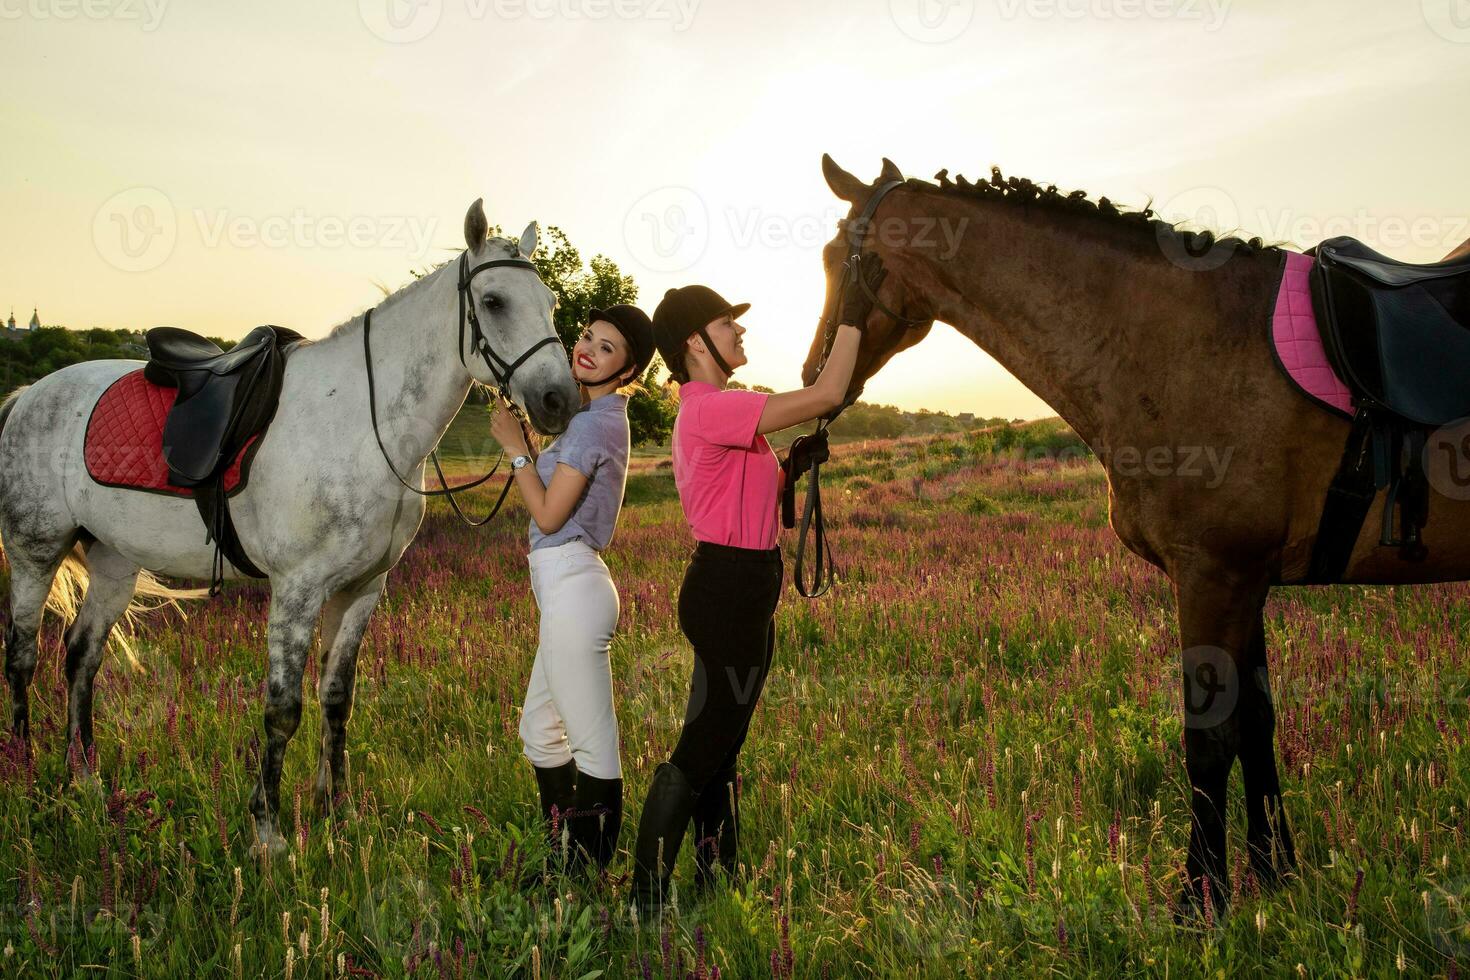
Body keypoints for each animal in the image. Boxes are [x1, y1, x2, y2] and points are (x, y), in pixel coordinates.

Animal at [0, 199, 573, 852]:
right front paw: (269, 832)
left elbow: (336, 699)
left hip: (115, 563)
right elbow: (282, 710)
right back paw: (25, 774)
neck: (363, 423)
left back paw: (86, 781)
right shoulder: (297, 590)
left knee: (80, 657)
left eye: (550, 301)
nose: (560, 400)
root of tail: (28, 395)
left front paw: (338, 810)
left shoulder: (361, 590)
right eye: (495, 301)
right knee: (21, 657)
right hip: (35, 552)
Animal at [805, 155, 1470, 922]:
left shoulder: (1214, 577)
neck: (1179, 347)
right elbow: (1258, 724)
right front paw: (1275, 876)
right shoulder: (1246, 580)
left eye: (837, 259)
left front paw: (1200, 903)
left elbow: (1209, 740)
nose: (811, 377)